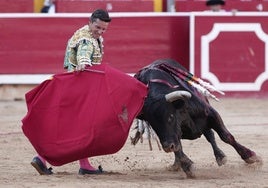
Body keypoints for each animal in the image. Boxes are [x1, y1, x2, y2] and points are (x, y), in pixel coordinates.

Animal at [134, 58, 262, 178]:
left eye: (170, 116)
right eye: (152, 124)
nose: (167, 147)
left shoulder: (211, 114)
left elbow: (226, 136)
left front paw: (251, 156)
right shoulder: (174, 134)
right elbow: (178, 147)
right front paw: (187, 166)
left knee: (210, 135)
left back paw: (220, 156)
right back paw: (177, 164)